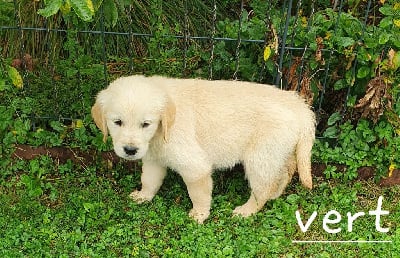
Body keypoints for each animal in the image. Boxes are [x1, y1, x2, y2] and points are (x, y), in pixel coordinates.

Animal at [91, 73, 316, 223]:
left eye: (146, 124)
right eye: (117, 122)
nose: (130, 150)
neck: (162, 129)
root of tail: (299, 106)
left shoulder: (195, 167)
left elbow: (198, 194)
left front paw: (199, 214)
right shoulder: (154, 158)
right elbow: (149, 180)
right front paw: (143, 196)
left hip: (260, 157)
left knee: (263, 188)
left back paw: (246, 210)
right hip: (277, 152)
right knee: (285, 172)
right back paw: (275, 195)